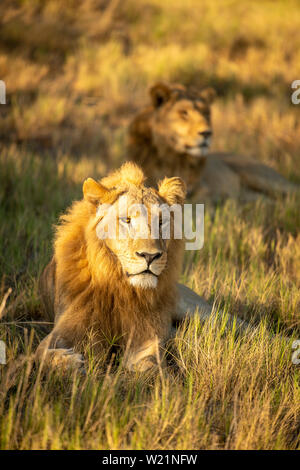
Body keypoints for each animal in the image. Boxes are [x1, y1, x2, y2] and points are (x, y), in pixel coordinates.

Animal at [127, 81, 296, 202]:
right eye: (184, 113)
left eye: (206, 113)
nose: (207, 133)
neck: (175, 159)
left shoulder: (201, 189)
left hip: (265, 179)